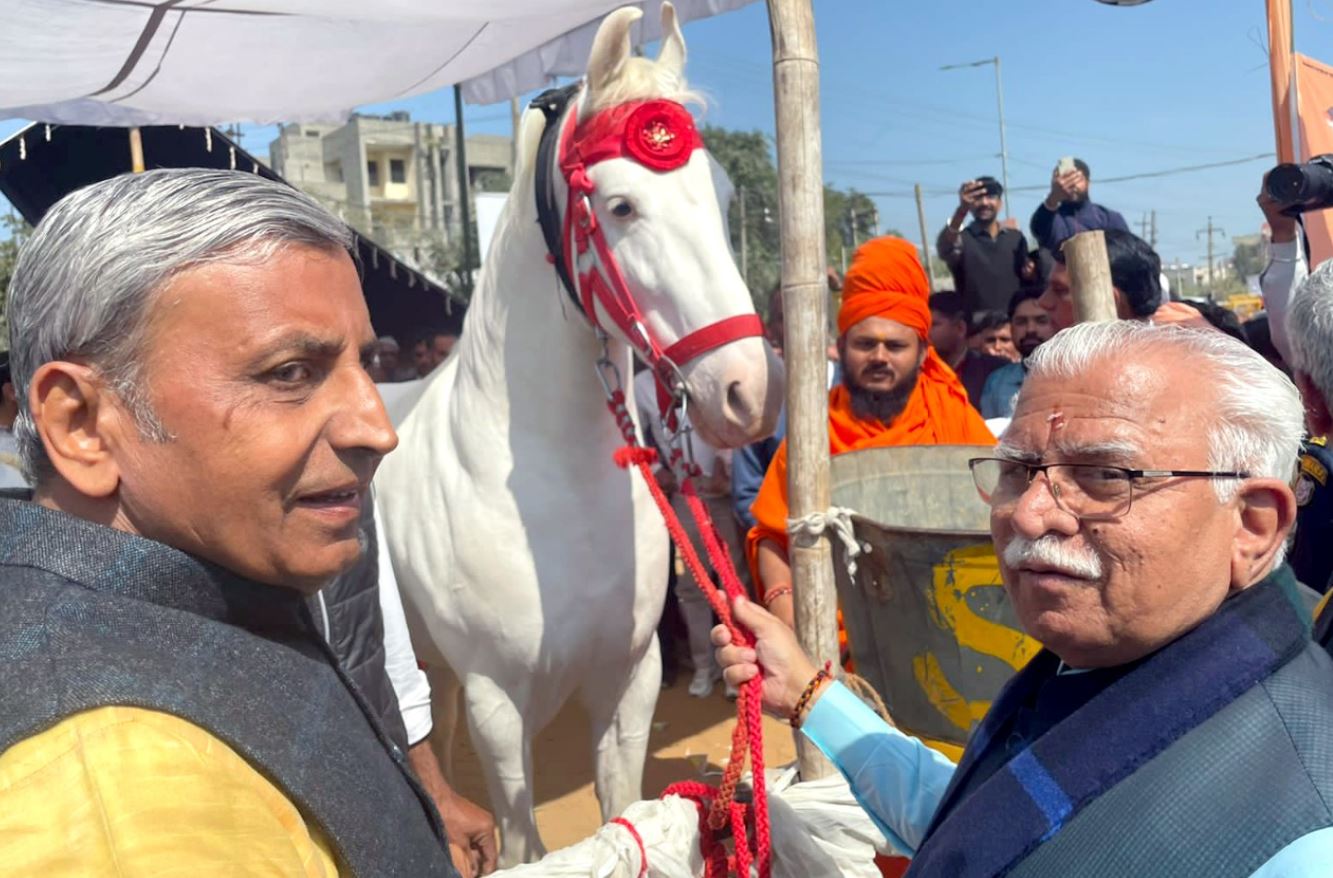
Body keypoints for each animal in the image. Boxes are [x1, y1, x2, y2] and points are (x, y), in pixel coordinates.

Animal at [375, 3, 783, 868]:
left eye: (723, 192)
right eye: (621, 206)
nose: (751, 390)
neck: (551, 492)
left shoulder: (628, 681)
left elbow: (619, 811)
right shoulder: (501, 708)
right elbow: (522, 842)